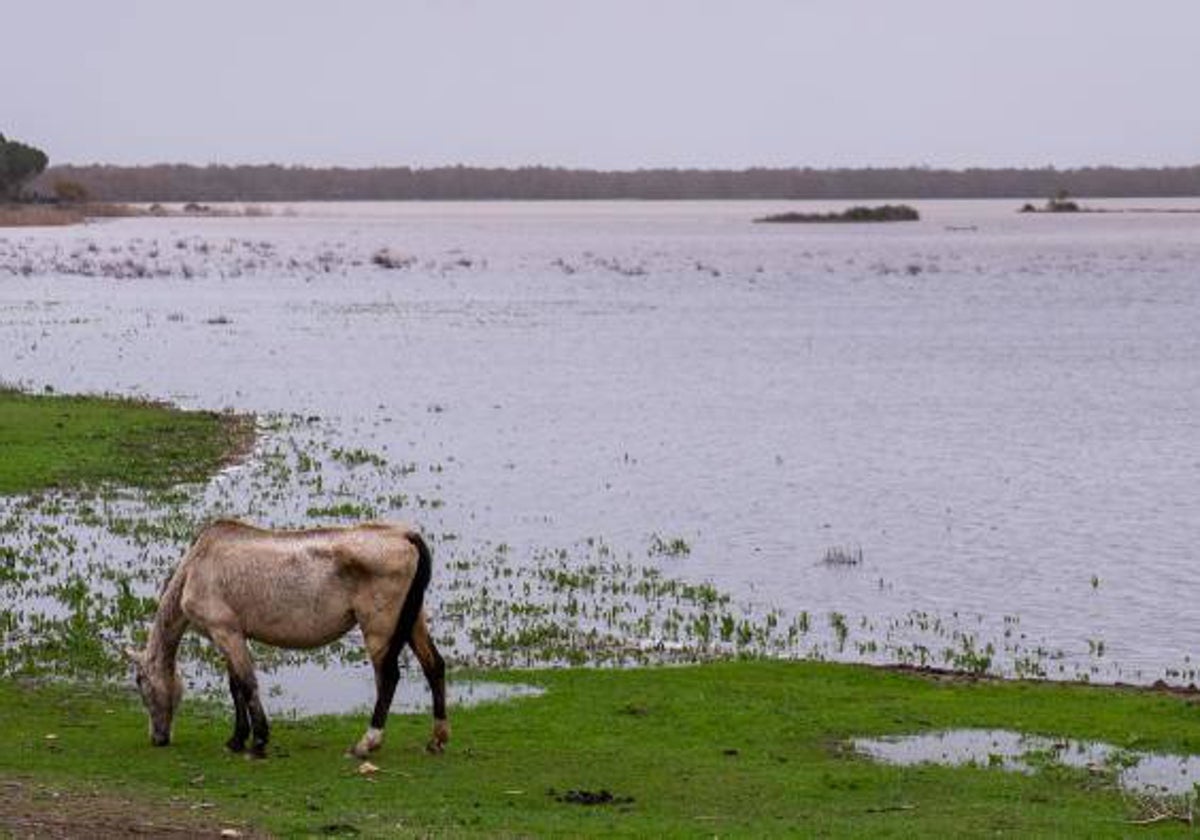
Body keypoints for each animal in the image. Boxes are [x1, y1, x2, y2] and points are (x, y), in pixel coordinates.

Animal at [124, 518, 448, 763]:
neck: (196, 566)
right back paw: (437, 739)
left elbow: (246, 684)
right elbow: (235, 685)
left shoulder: (225, 631)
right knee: (434, 666)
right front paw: (237, 740)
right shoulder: (231, 635)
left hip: (379, 627)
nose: (157, 738)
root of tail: (405, 535)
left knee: (389, 677)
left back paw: (366, 743)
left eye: (140, 682)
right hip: (413, 620)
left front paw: (258, 742)